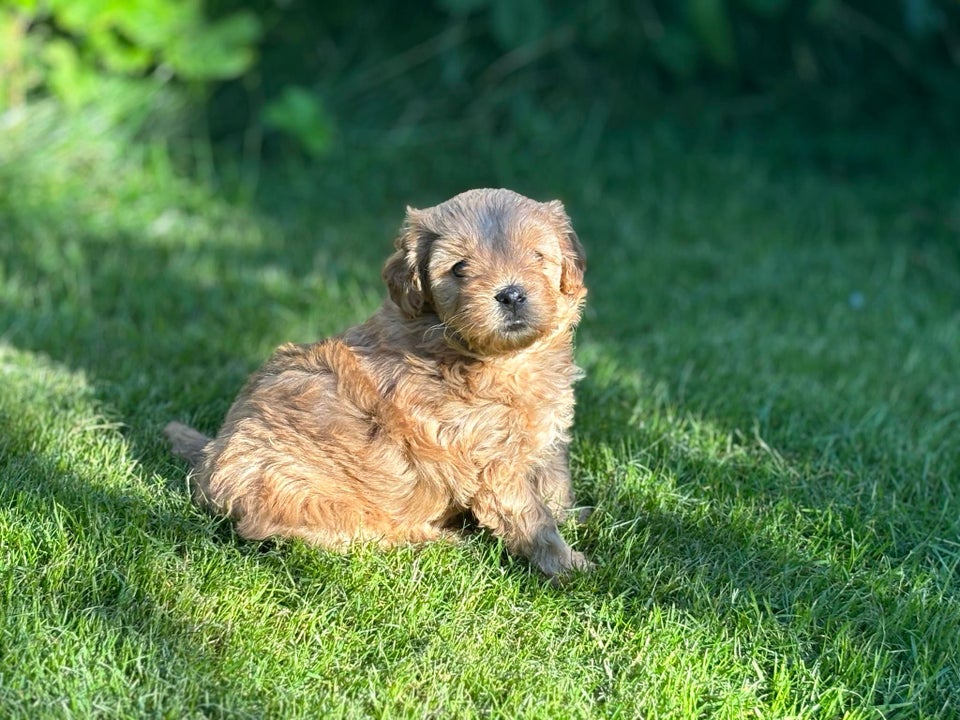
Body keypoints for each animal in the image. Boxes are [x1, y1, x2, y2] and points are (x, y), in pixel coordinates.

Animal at [167, 187, 592, 580]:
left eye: (537, 256)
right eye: (459, 268)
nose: (511, 294)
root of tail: (210, 461)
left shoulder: (545, 440)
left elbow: (554, 485)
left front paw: (575, 517)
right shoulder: (492, 461)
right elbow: (531, 517)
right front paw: (569, 566)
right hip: (302, 495)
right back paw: (445, 539)